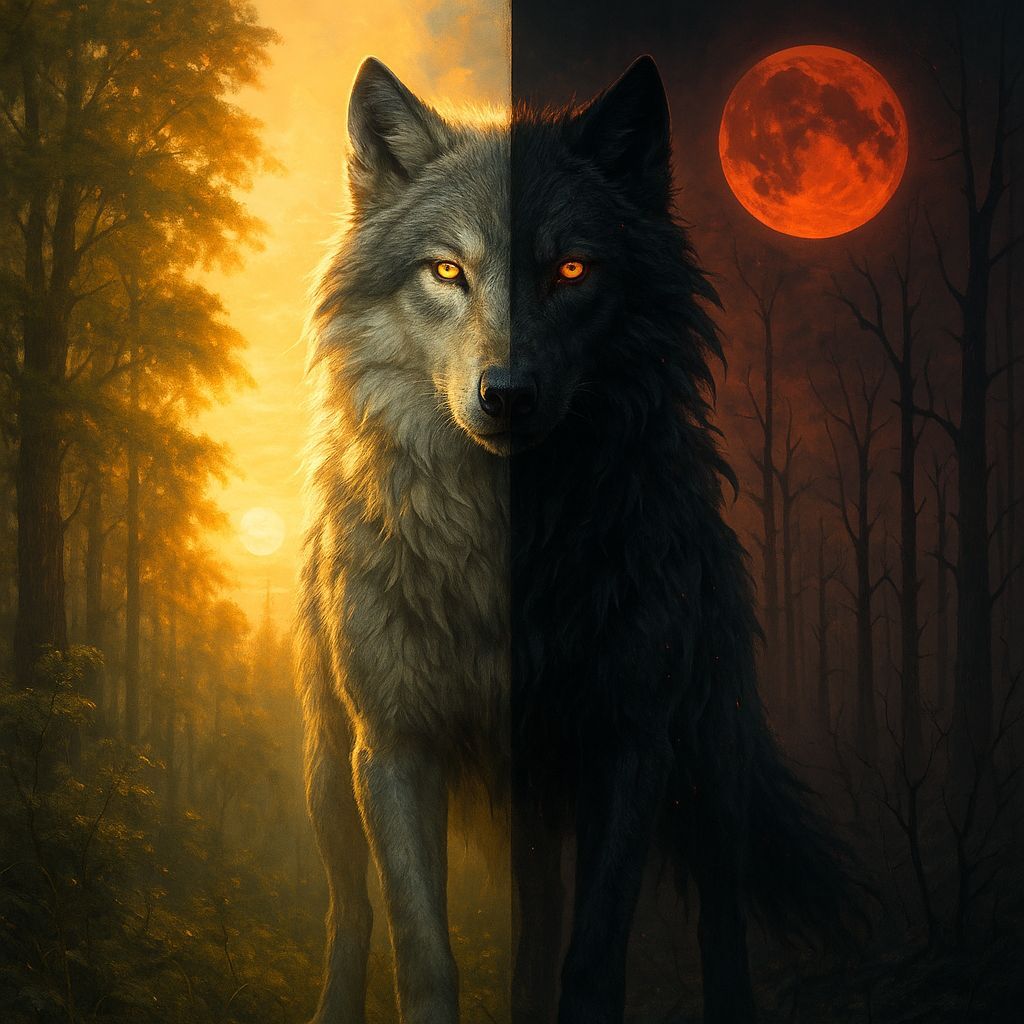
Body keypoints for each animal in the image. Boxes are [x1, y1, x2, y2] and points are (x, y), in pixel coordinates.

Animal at [298, 55, 850, 1024]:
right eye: (448, 270)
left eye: (570, 267)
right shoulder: (395, 746)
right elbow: (421, 953)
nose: (507, 393)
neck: (505, 553)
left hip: (711, 770)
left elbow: (592, 957)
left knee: (717, 920)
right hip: (334, 775)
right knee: (350, 913)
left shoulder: (630, 747)